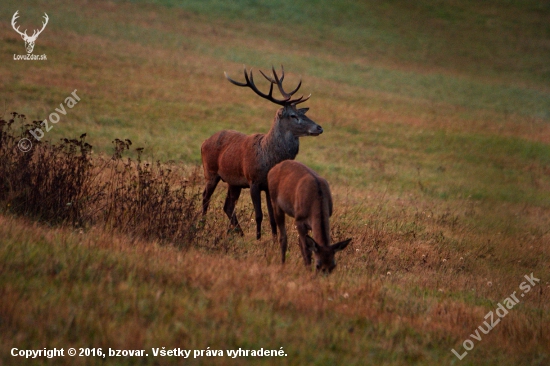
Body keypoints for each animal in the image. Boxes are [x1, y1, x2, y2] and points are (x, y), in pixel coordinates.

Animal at [202, 66, 324, 240]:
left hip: (234, 182)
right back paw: (202, 225)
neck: (269, 158)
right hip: (210, 171)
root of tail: (204, 142)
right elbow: (259, 214)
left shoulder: (268, 186)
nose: (319, 128)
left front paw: (274, 239)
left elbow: (272, 217)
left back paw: (239, 232)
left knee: (228, 205)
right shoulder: (253, 180)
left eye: (304, 114)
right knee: (205, 198)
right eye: (293, 115)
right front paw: (258, 238)